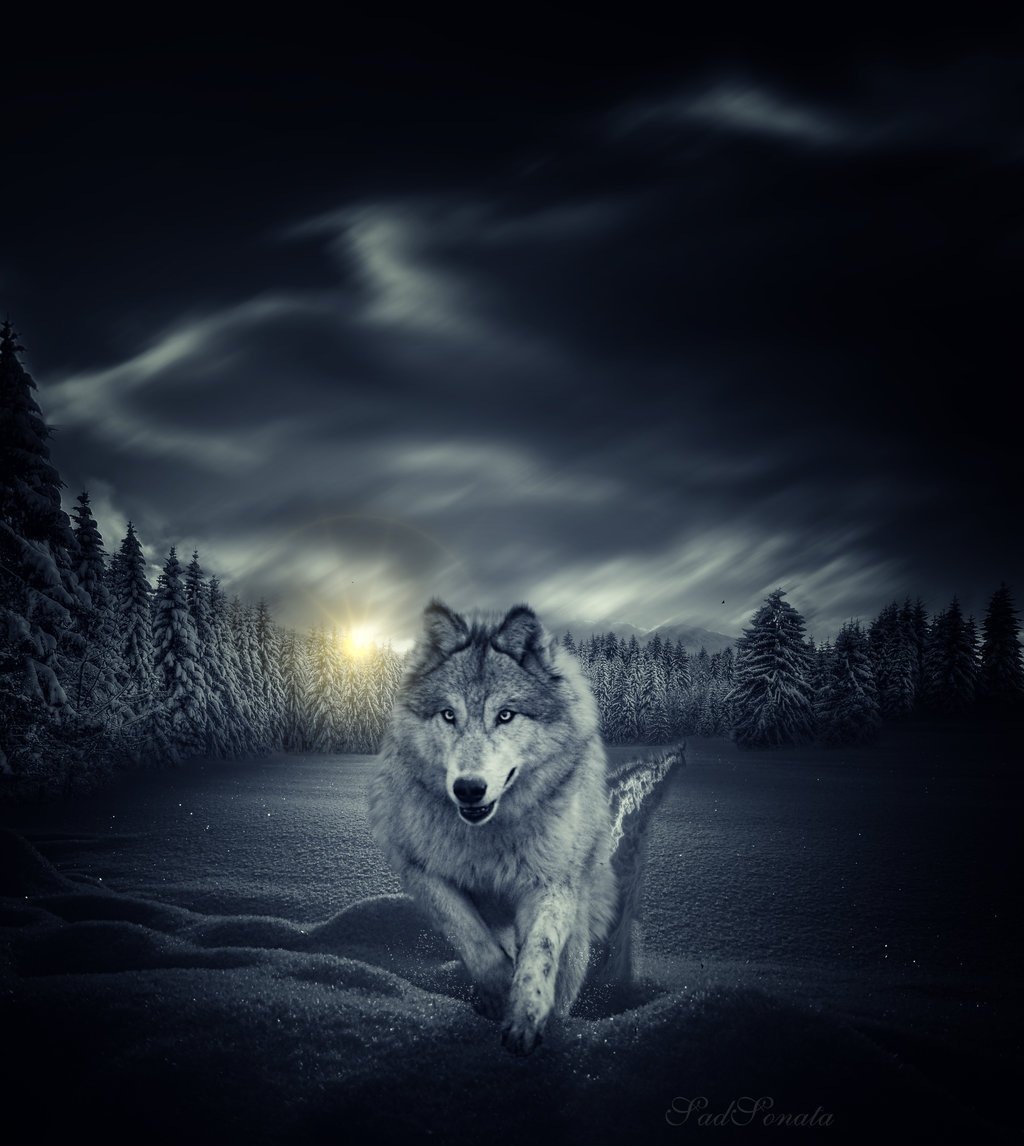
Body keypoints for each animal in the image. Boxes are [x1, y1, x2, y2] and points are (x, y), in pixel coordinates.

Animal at [367, 600, 681, 1054]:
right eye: (449, 715)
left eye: (505, 715)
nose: (469, 789)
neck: (487, 837)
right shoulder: (420, 871)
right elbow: (471, 938)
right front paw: (498, 991)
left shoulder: (552, 883)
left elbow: (540, 952)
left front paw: (527, 1016)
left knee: (567, 975)